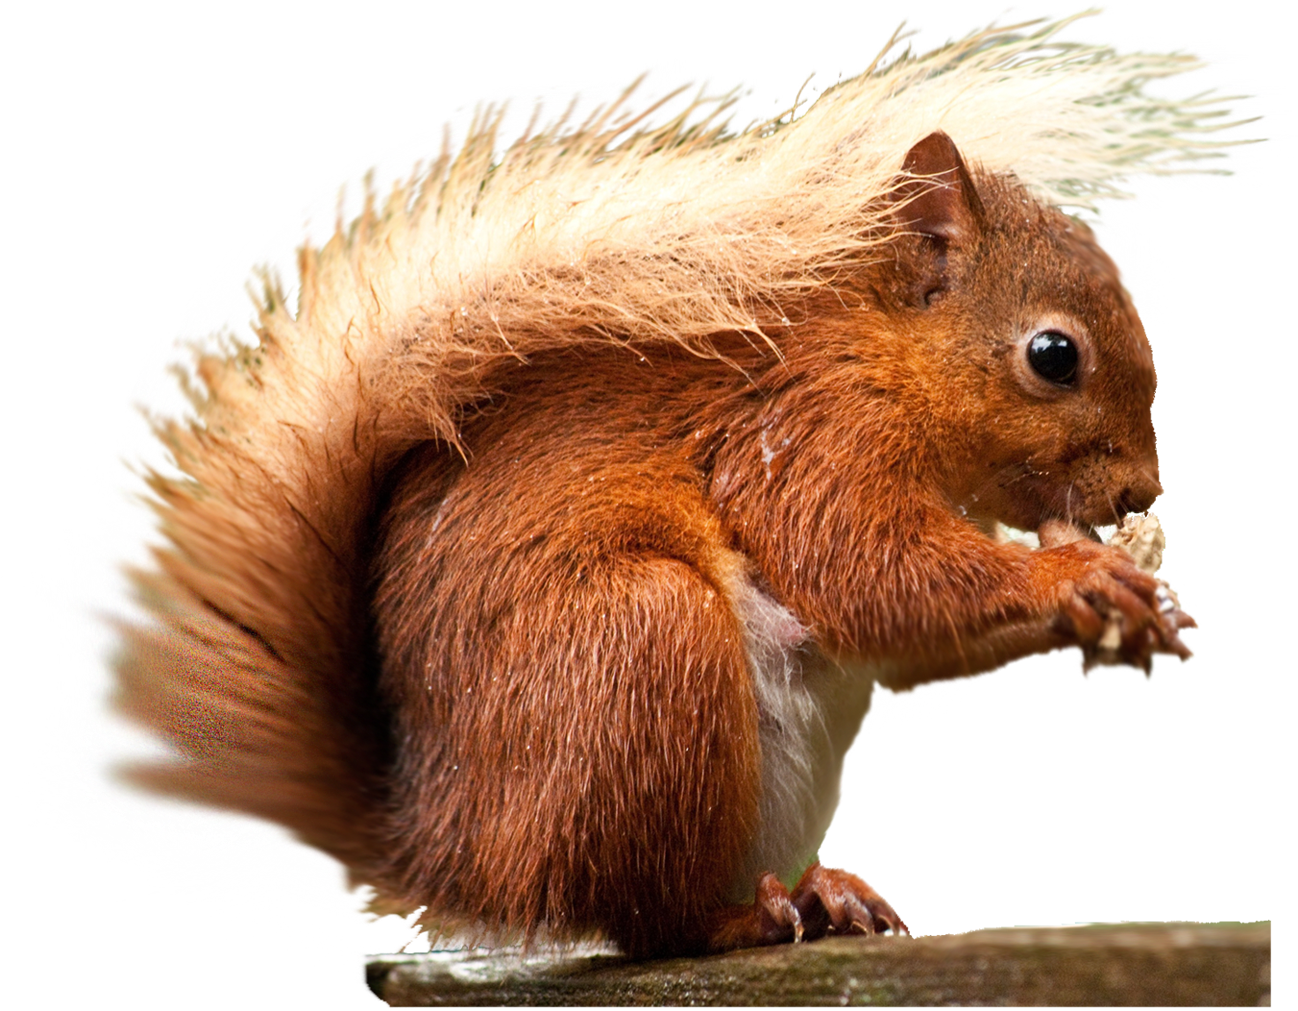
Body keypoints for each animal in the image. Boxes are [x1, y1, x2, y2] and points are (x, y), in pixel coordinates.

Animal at [68, 9, 1262, 958]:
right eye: (1053, 355)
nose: (1138, 493)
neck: (877, 350)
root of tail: (452, 847)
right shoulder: (804, 435)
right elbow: (867, 574)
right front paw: (1083, 581)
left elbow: (904, 637)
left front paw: (1139, 606)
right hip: (645, 646)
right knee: (646, 917)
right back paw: (750, 916)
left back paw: (822, 893)